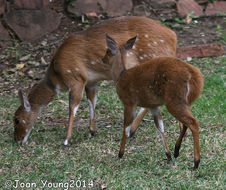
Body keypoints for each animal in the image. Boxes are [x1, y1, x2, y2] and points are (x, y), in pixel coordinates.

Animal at [13, 16, 177, 145]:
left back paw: (131, 130)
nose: (17, 140)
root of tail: (173, 37)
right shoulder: (91, 82)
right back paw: (132, 130)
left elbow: (73, 107)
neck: (57, 75)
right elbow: (92, 101)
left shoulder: (76, 78)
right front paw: (92, 131)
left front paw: (66, 140)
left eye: (16, 119)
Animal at [105, 34, 204, 169]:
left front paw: (120, 153)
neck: (121, 75)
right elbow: (160, 127)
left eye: (107, 51)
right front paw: (168, 156)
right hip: (183, 103)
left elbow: (126, 126)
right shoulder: (153, 106)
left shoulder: (129, 102)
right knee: (186, 123)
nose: (102, 59)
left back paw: (195, 162)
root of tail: (195, 77)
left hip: (174, 102)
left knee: (193, 122)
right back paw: (177, 151)